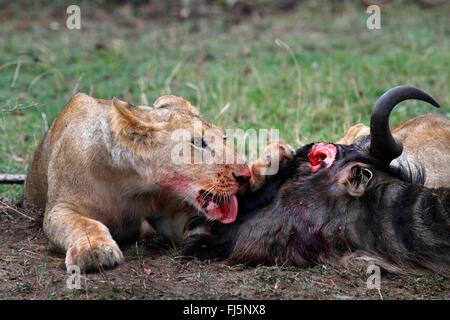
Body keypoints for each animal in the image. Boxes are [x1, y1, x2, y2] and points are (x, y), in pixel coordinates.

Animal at [25, 94, 253, 272]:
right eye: (198, 142)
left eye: (224, 138)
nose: (246, 175)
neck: (130, 183)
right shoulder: (60, 207)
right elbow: (83, 223)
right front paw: (95, 250)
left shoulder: (170, 213)